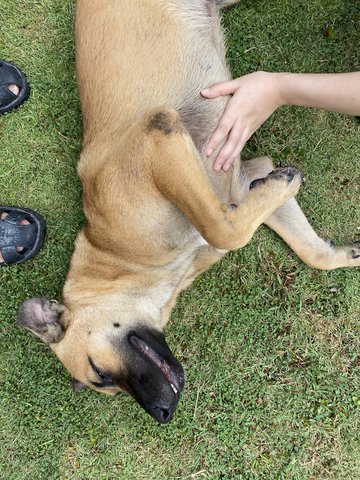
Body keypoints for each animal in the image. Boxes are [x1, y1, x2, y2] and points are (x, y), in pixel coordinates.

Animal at [17, 0, 360, 422]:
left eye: (99, 373)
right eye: (107, 386)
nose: (162, 413)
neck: (125, 262)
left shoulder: (159, 138)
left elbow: (223, 229)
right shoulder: (249, 178)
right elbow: (306, 249)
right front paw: (344, 253)